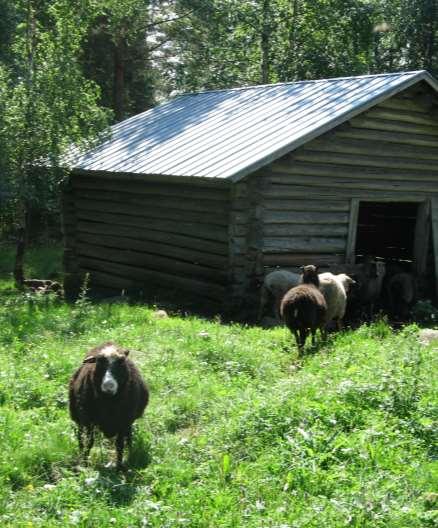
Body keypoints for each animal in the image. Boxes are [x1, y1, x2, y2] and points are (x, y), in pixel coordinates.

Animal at [68, 340, 149, 468]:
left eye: (121, 362)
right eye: (99, 362)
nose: (108, 387)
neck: (109, 402)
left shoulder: (123, 422)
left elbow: (119, 445)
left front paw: (119, 467)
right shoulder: (89, 420)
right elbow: (89, 442)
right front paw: (85, 463)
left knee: (128, 436)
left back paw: (130, 451)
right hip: (77, 415)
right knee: (80, 436)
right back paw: (80, 453)